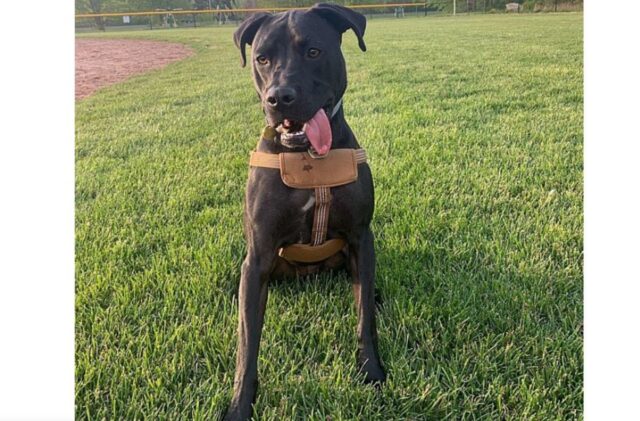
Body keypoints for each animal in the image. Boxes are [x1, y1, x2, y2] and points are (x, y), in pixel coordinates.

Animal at [226, 2, 384, 416]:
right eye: (262, 58)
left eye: (313, 51)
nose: (279, 98)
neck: (308, 157)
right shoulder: (259, 254)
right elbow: (247, 343)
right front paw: (240, 405)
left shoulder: (361, 238)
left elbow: (364, 317)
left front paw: (372, 370)